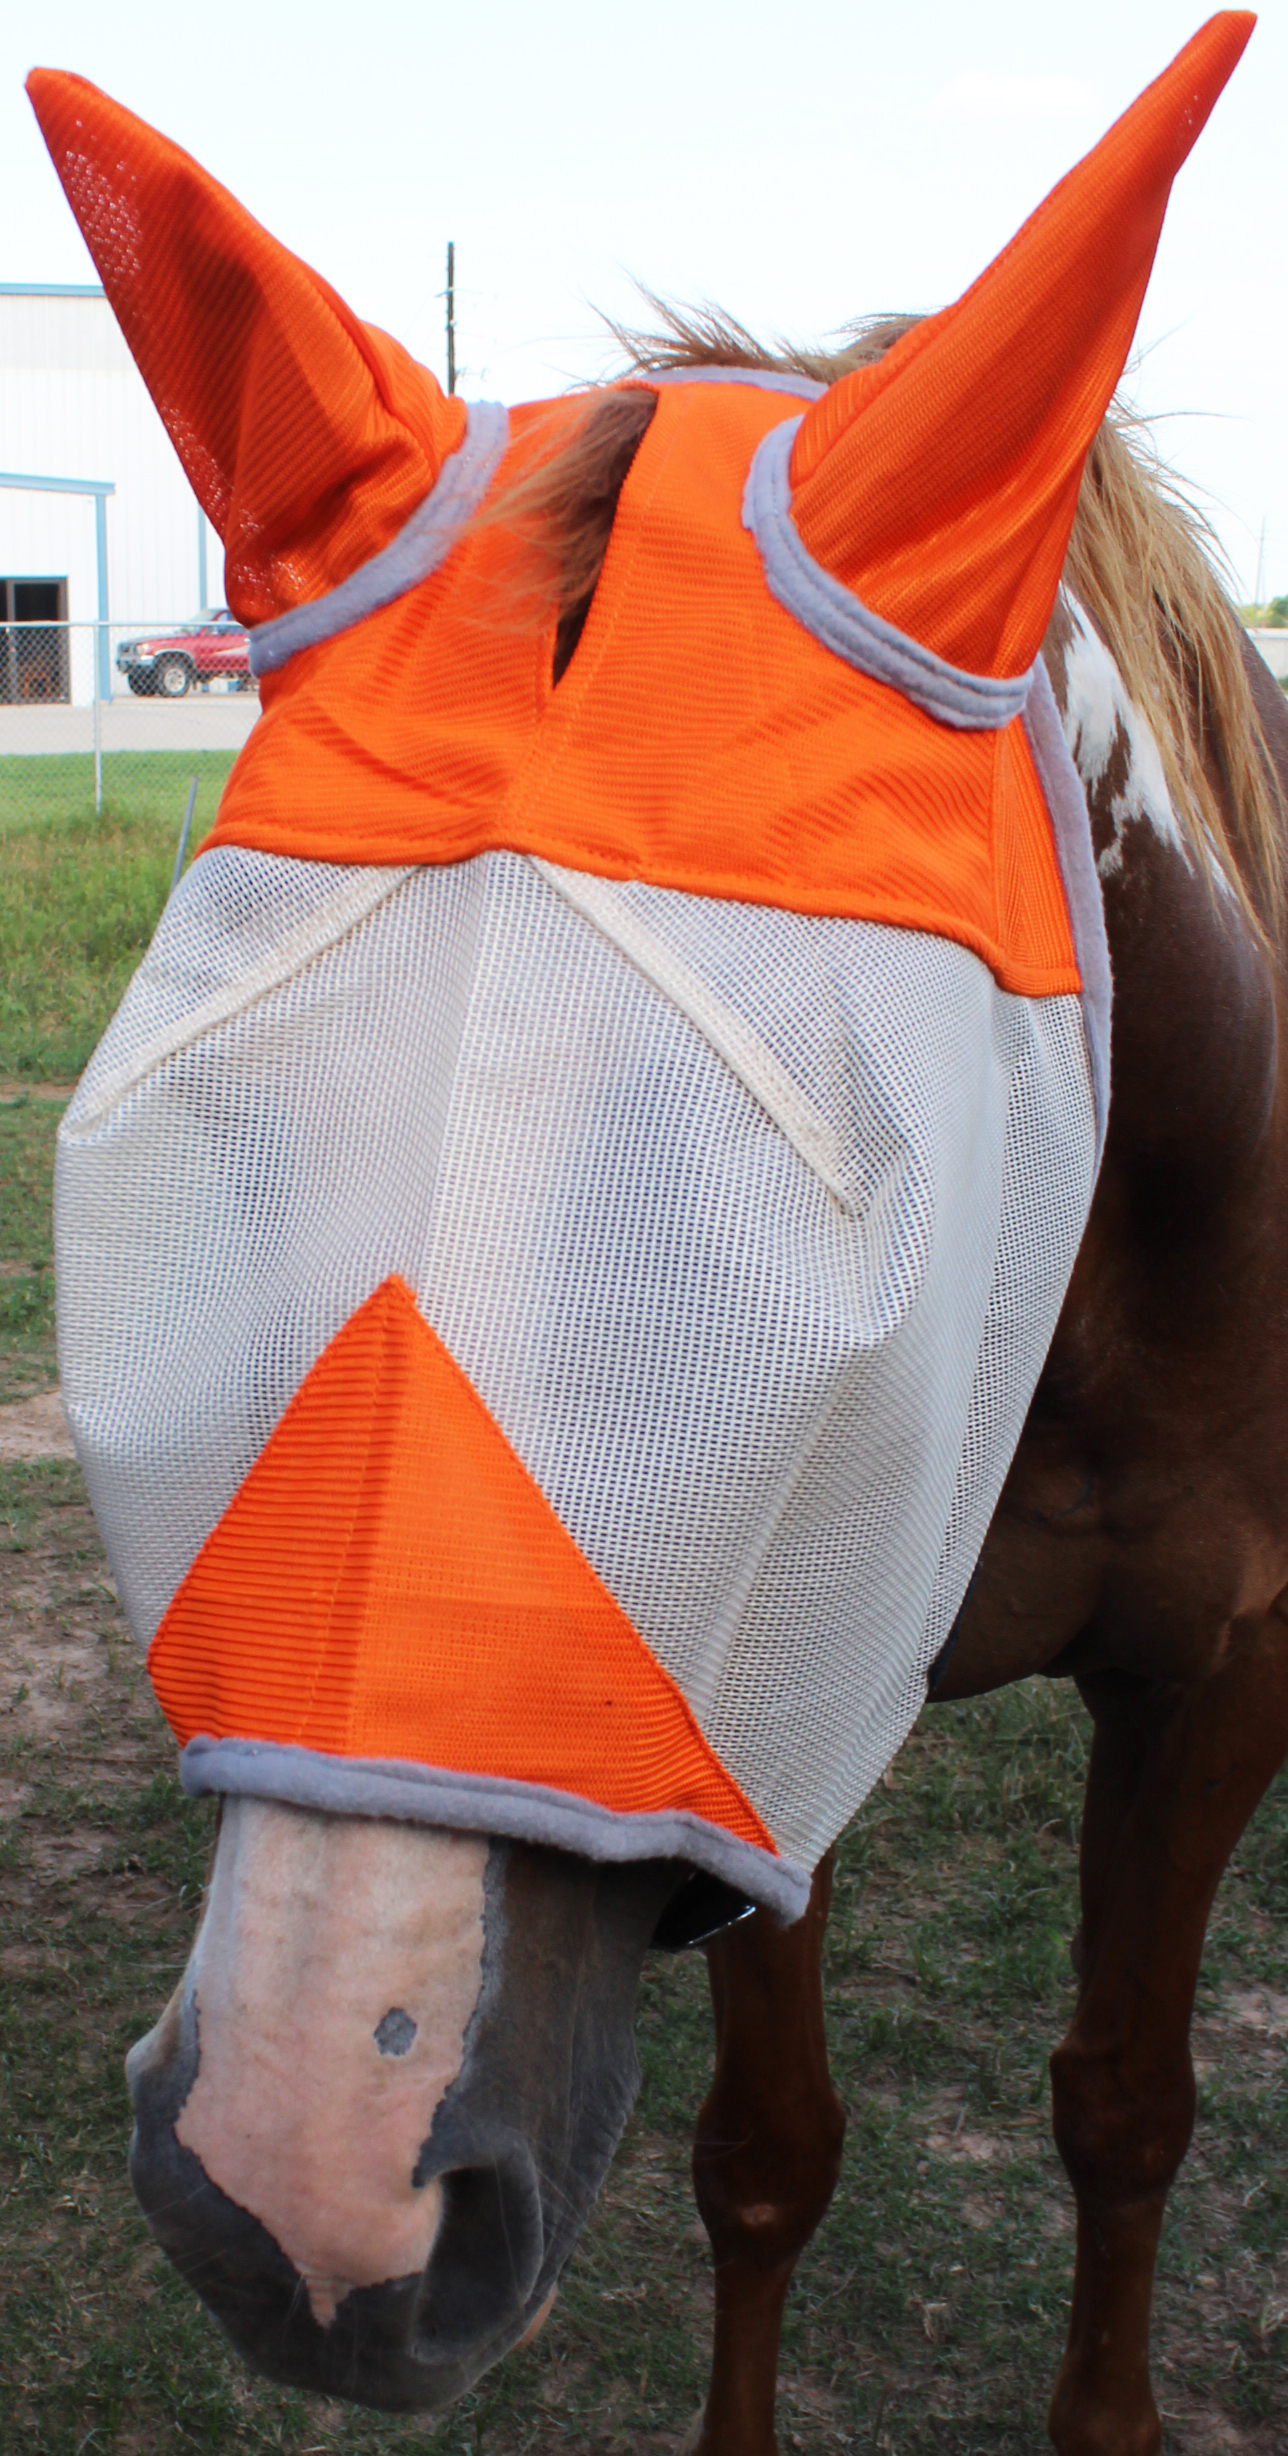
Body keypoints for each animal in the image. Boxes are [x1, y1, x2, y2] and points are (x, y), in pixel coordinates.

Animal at [31, 22, 1288, 2455]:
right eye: (215, 1125)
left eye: (813, 1194)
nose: (300, 2183)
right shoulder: (766, 1704)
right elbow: (767, 2154)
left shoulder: (1208, 1667)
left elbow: (1123, 2104)